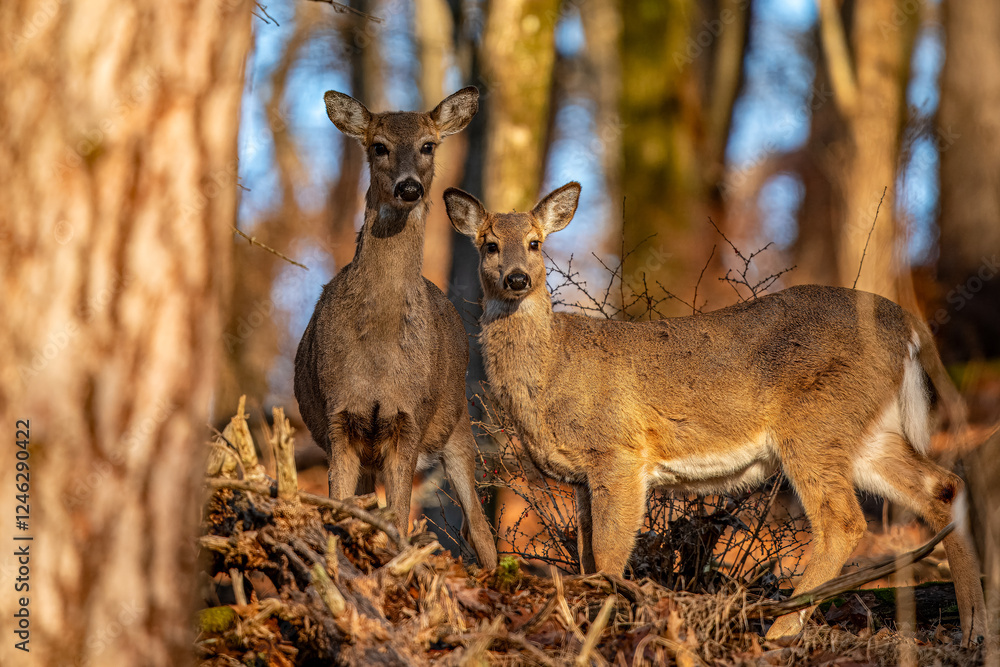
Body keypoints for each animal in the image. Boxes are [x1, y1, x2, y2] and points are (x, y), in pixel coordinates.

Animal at [294, 87, 497, 569]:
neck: (380, 348)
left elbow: (401, 516)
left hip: (457, 421)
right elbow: (343, 508)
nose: (409, 187)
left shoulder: (410, 418)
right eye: (379, 146)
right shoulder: (338, 417)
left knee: (479, 526)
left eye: (429, 145)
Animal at [444, 181, 988, 644]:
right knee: (942, 486)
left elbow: (609, 556)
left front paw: (602, 626)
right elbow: (586, 558)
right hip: (866, 432)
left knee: (844, 521)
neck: (551, 371)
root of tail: (907, 325)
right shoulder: (580, 476)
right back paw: (975, 628)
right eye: (488, 245)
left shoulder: (618, 452)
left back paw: (779, 631)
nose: (516, 278)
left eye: (535, 243)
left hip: (815, 424)